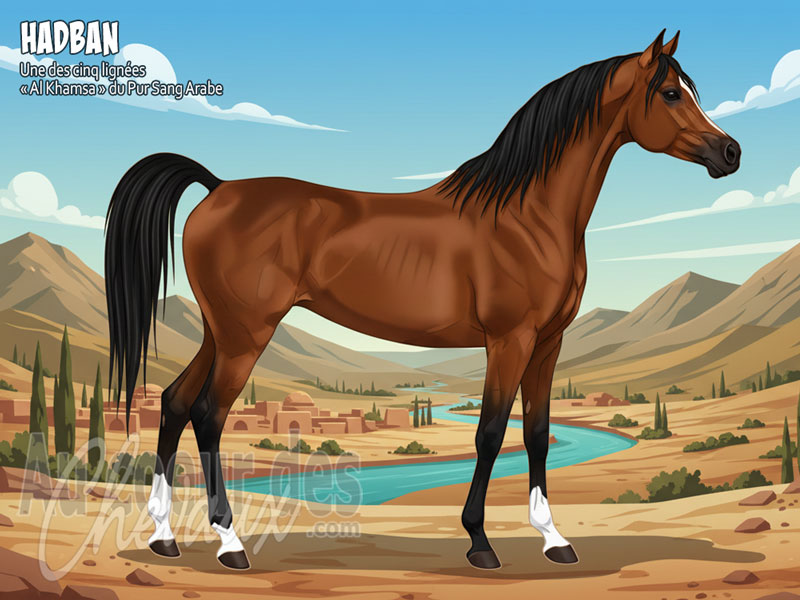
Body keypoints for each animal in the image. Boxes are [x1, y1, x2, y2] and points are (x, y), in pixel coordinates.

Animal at [104, 29, 740, 571]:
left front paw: (554, 539)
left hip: (221, 331)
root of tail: (217, 188)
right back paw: (230, 544)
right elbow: (490, 434)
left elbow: (537, 434)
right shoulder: (509, 340)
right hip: (245, 336)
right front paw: (480, 543)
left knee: (174, 403)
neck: (528, 216)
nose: (730, 153)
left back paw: (163, 536)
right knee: (208, 415)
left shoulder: (547, 342)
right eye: (670, 92)